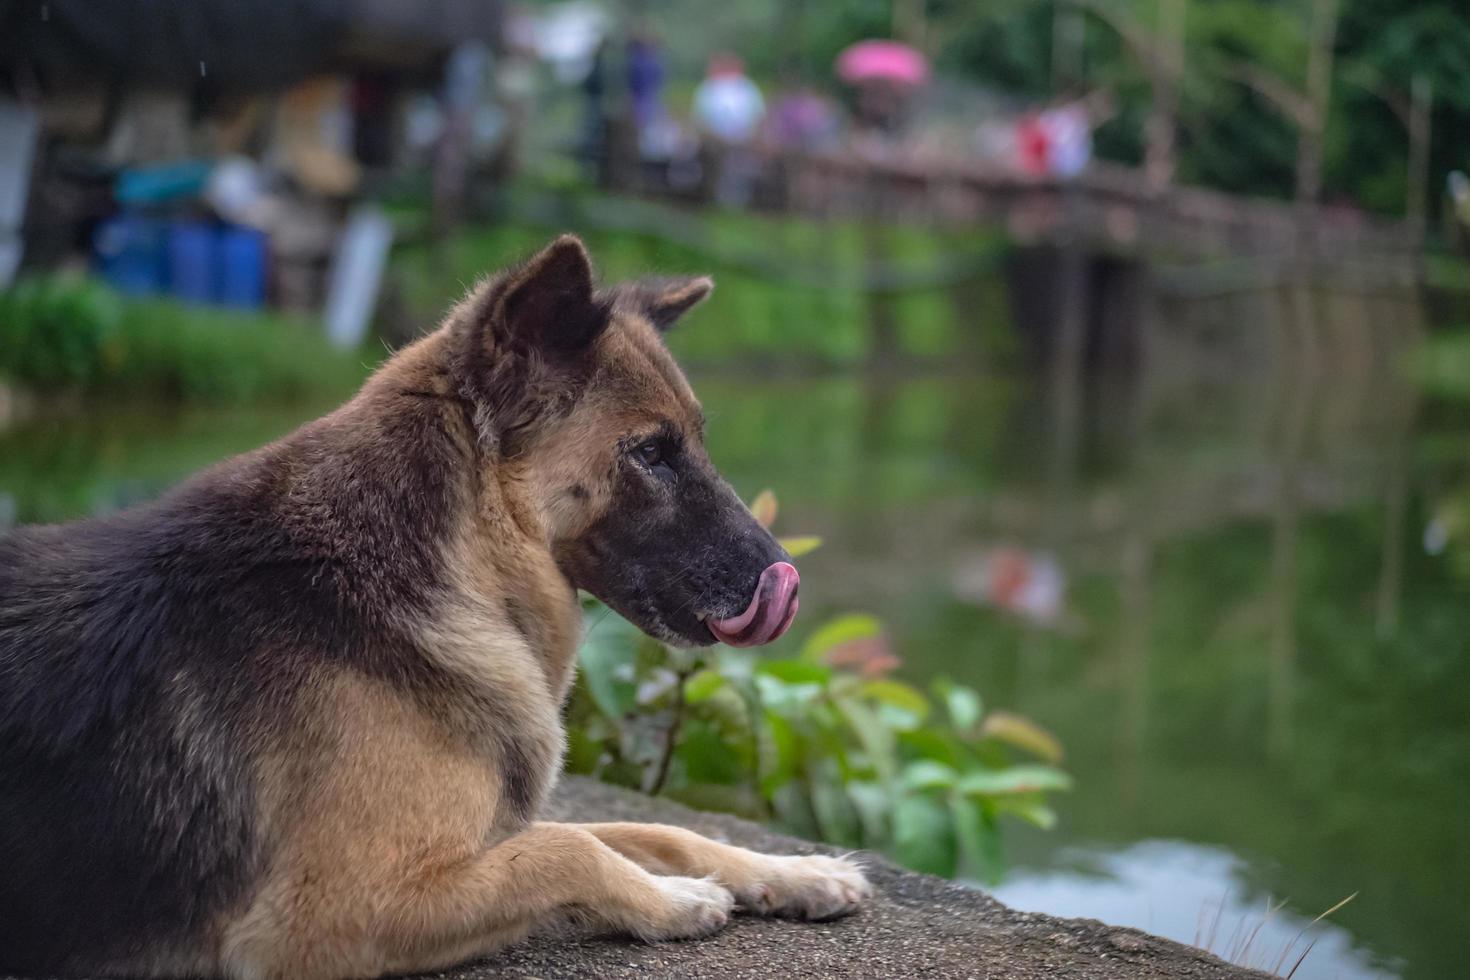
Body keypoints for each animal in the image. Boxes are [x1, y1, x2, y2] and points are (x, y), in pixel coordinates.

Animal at [0, 239, 870, 980]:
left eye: (692, 442)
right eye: (652, 453)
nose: (784, 580)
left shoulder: (484, 838)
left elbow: (653, 830)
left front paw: (794, 871)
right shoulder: (329, 915)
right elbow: (569, 848)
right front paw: (671, 901)